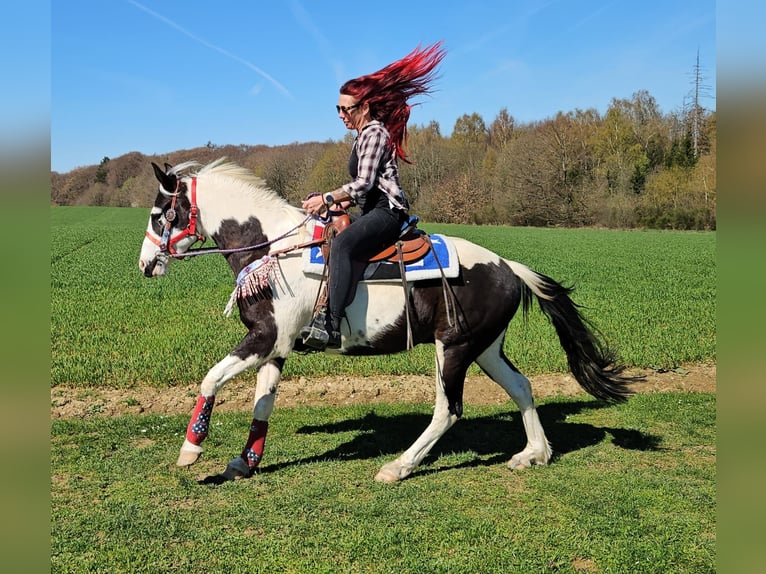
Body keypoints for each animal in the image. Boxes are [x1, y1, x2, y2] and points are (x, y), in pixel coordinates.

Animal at [138, 158, 636, 483]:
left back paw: (399, 466)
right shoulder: (276, 347)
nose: (144, 265)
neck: (274, 248)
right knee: (522, 387)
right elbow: (263, 404)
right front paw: (245, 462)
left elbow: (210, 379)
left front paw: (191, 450)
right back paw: (534, 454)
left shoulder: (264, 338)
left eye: (160, 214)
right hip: (486, 348)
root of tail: (510, 267)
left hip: (453, 349)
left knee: (448, 409)